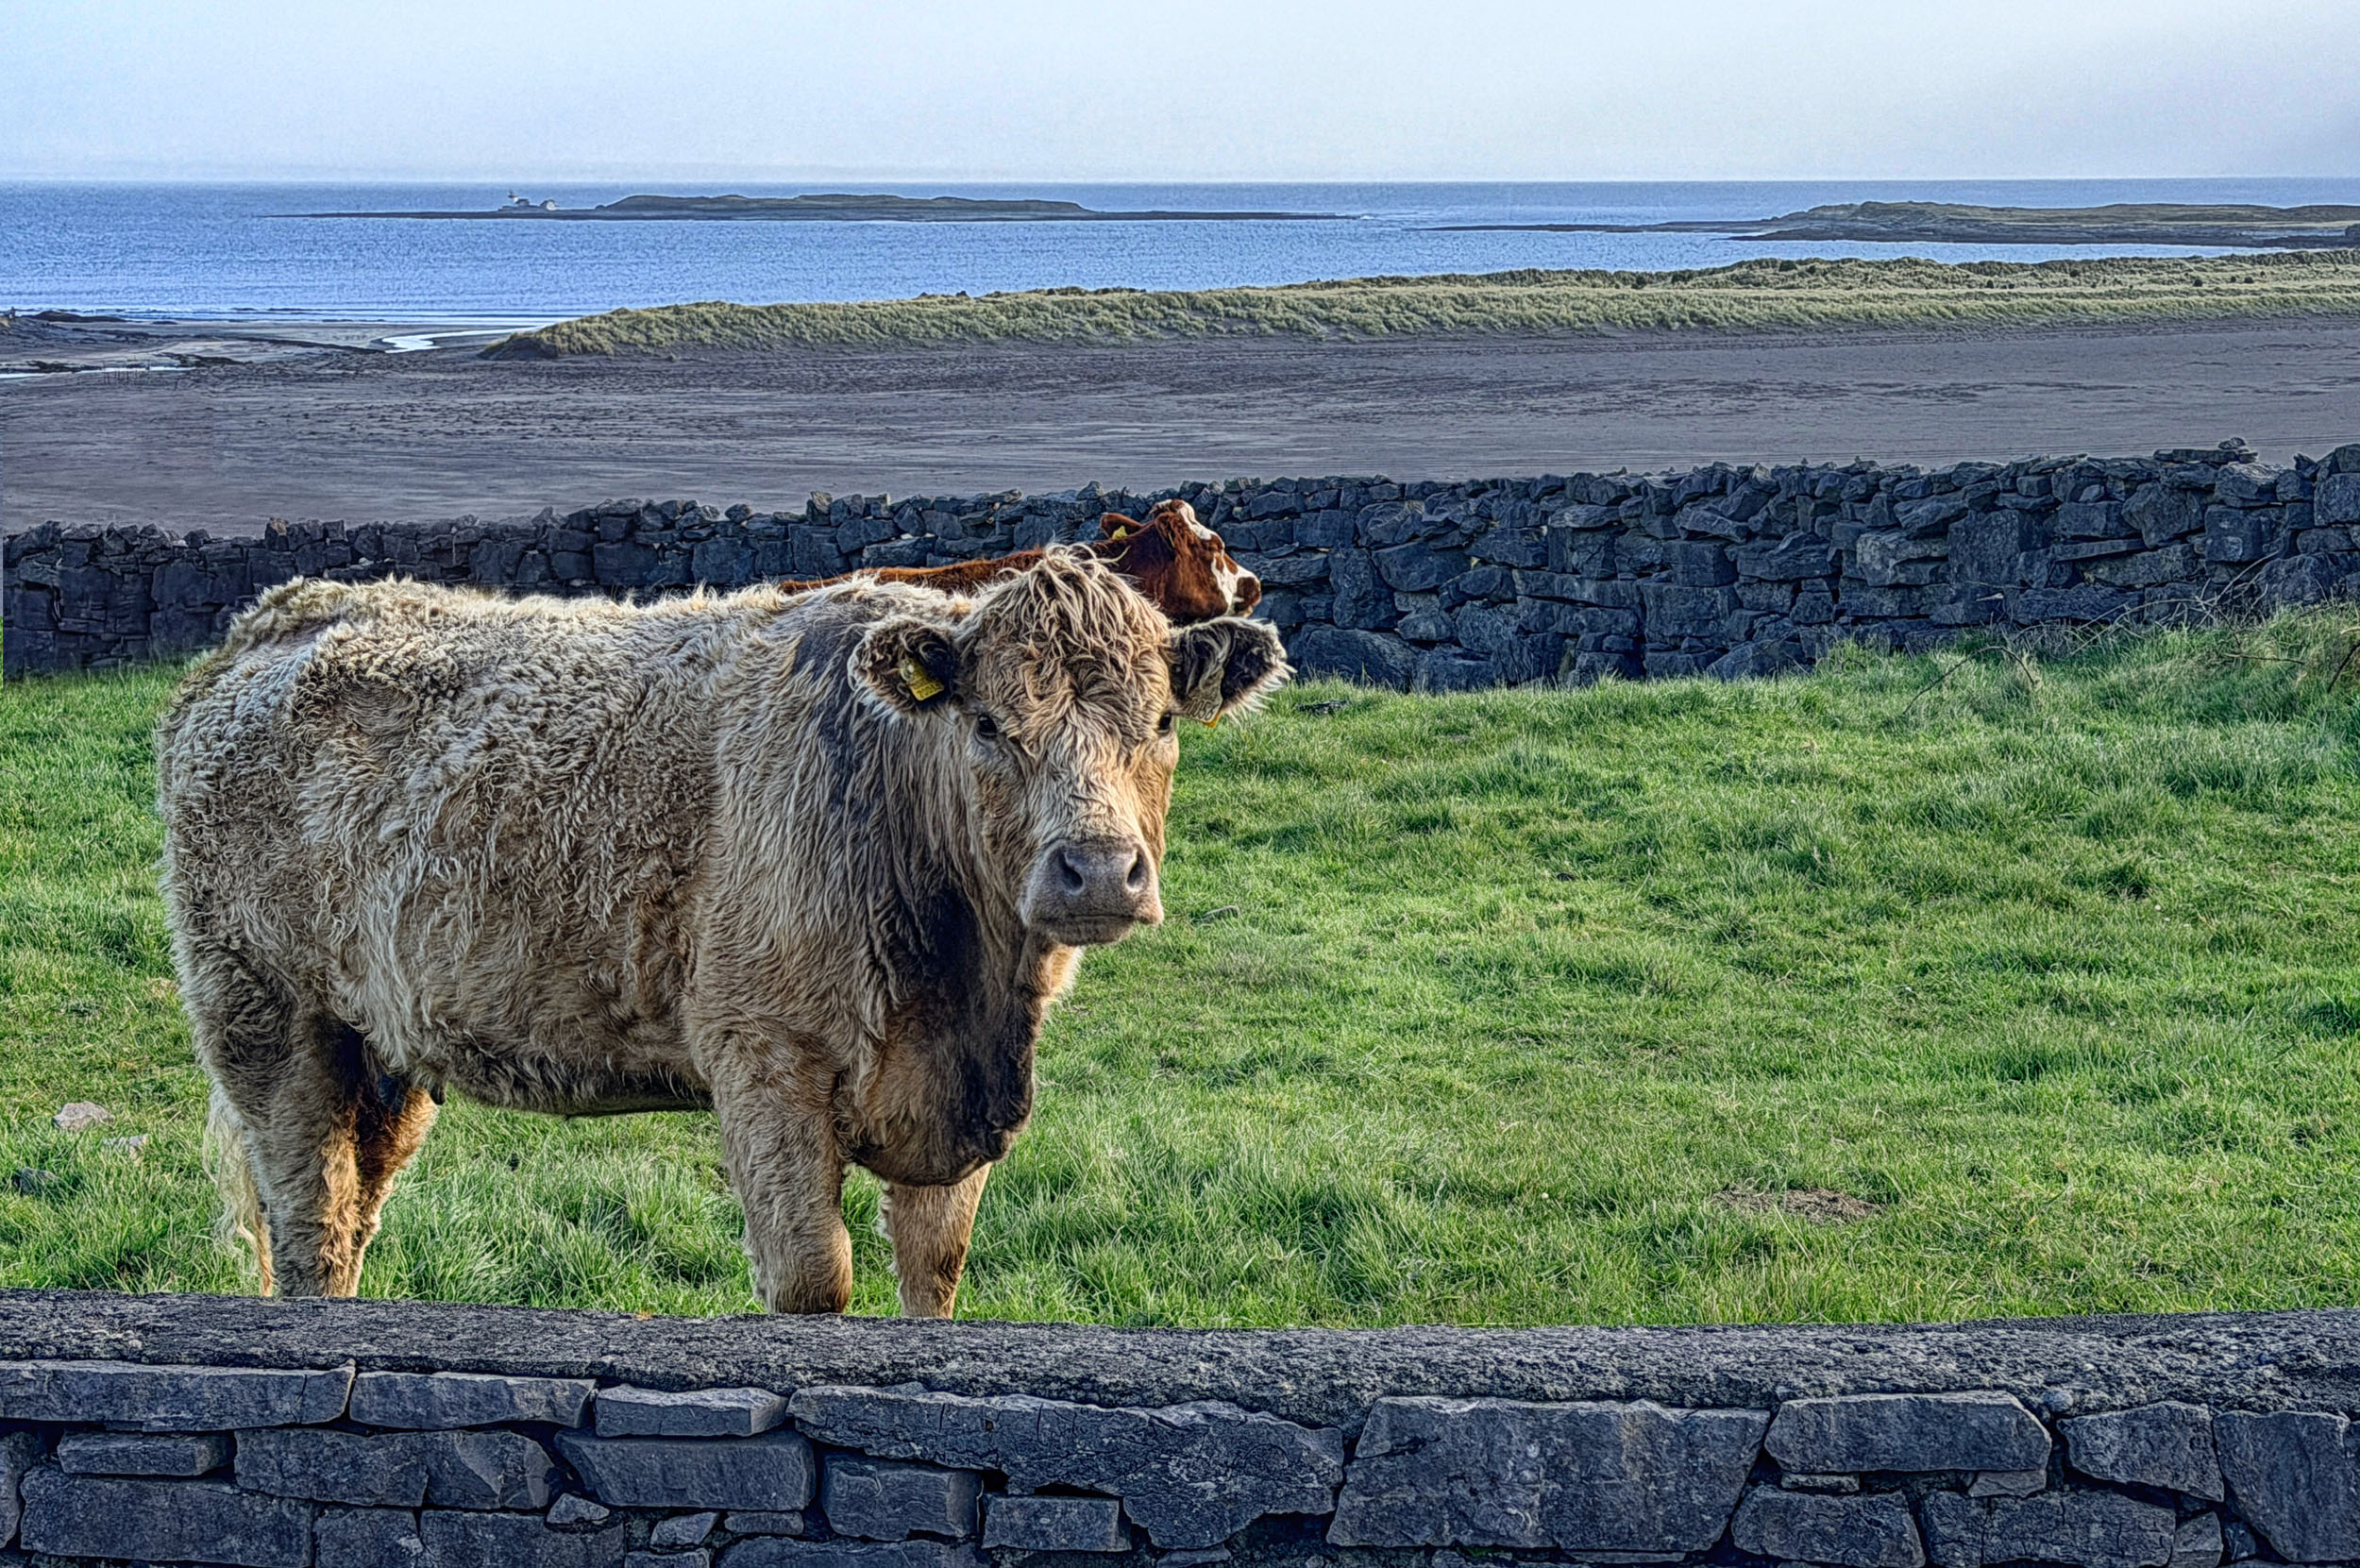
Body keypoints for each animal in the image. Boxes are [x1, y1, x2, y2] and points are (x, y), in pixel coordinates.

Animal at [156, 551, 1287, 1315]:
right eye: (987, 724)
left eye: (1162, 721)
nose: (1096, 867)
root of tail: (283, 613)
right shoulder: (762, 1057)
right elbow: (814, 1277)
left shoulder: (952, 1109)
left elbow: (935, 1274)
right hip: (261, 1012)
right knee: (308, 1221)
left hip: (381, 1051)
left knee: (352, 1213)